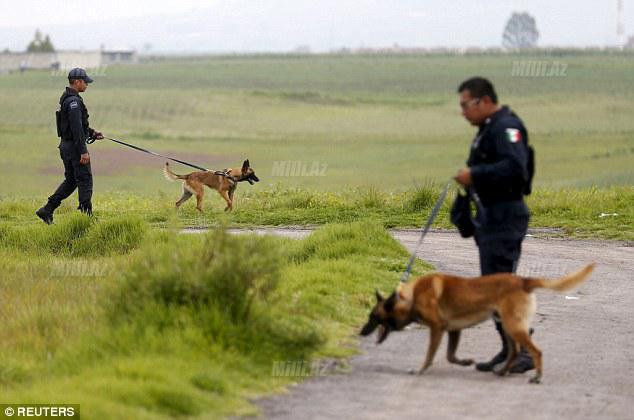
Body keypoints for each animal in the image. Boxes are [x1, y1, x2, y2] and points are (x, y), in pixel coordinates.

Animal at [360, 264, 592, 386]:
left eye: (373, 317)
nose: (361, 333)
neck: (412, 297)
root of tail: (523, 280)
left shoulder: (437, 329)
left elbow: (430, 355)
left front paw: (420, 370)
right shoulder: (453, 330)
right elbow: (450, 355)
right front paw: (465, 362)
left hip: (513, 326)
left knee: (536, 351)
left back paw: (536, 376)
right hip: (506, 326)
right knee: (514, 351)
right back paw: (502, 371)